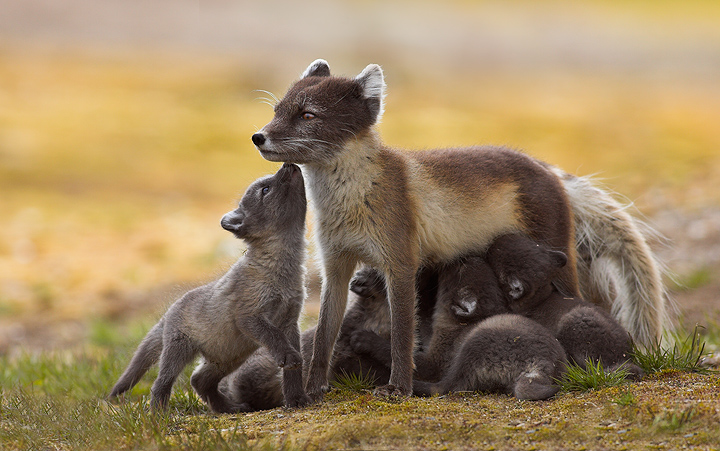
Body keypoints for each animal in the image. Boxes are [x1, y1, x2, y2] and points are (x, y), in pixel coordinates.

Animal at [109, 163, 309, 412]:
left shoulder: (291, 321)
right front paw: (289, 362)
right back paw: (159, 415)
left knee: (198, 380)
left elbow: (293, 373)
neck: (281, 273)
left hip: (229, 357)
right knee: (161, 383)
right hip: (180, 352)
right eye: (265, 189)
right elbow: (275, 338)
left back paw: (228, 408)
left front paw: (297, 400)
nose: (289, 164)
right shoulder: (249, 316)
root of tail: (171, 309)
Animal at [251, 59, 668, 399]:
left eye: (308, 115)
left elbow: (402, 337)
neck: (352, 200)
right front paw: (313, 390)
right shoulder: (336, 265)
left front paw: (398, 389)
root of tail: (545, 167)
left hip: (558, 263)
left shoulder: (401, 264)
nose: (258, 137)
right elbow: (324, 335)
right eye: (277, 110)